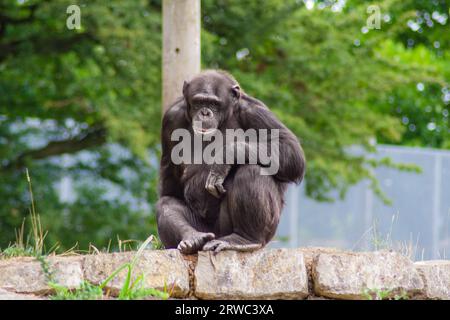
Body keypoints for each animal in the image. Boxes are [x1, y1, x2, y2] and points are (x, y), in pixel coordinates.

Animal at [156, 69, 306, 254]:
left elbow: (289, 148)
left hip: (263, 230)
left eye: (214, 104)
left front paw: (225, 157)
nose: (205, 112)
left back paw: (245, 239)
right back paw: (193, 239)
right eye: (199, 102)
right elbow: (170, 190)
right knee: (167, 203)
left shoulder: (255, 111)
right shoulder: (171, 119)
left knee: (253, 170)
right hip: (205, 229)